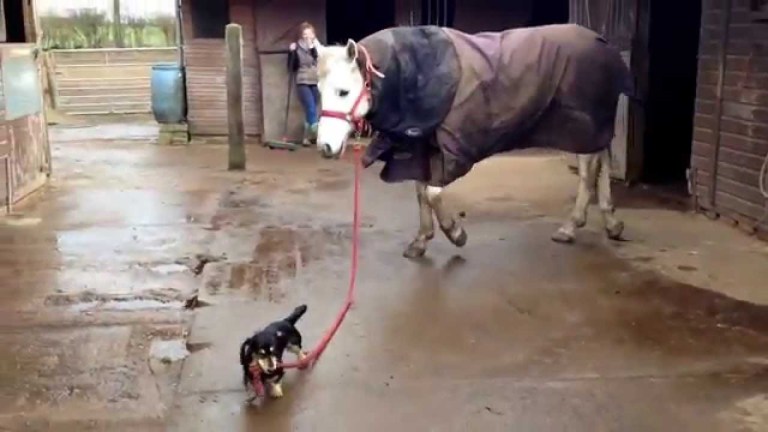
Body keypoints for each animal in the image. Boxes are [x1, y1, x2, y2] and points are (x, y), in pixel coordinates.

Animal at [316, 26, 628, 256]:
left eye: (343, 91)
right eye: (318, 90)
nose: (325, 147)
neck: (419, 73)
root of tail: (602, 43)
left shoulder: (455, 150)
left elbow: (432, 192)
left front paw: (455, 233)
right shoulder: (424, 146)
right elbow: (421, 192)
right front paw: (421, 240)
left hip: (583, 128)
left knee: (589, 170)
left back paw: (571, 227)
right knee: (602, 158)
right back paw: (611, 224)